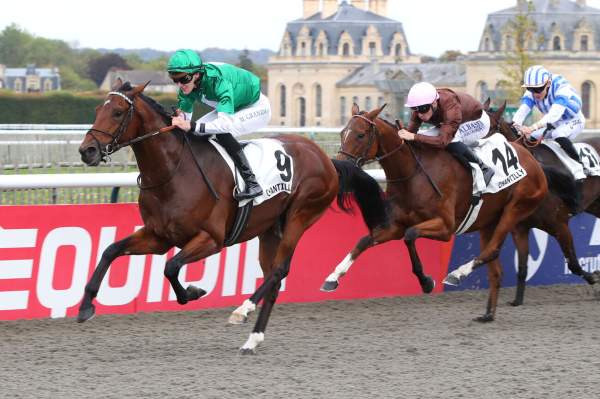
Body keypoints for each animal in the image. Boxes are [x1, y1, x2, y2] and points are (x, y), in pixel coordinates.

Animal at [77, 79, 386, 354]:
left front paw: (193, 292)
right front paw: (86, 306)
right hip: (270, 229)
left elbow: (171, 267)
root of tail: (327, 160)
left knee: (279, 270)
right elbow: (111, 250)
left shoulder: (211, 239)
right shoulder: (158, 236)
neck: (173, 171)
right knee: (273, 277)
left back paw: (243, 310)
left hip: (301, 215)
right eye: (97, 109)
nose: (86, 150)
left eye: (118, 112)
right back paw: (253, 340)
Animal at [324, 102, 548, 322]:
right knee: (495, 268)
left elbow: (410, 235)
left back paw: (457, 274)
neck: (413, 174)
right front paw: (332, 278)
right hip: (488, 222)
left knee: (492, 250)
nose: (339, 166)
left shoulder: (445, 227)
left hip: (515, 209)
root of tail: (531, 158)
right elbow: (364, 241)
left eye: (360, 135)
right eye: (342, 133)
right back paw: (488, 314)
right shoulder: (395, 226)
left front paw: (426, 281)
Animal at [486, 101, 596, 306]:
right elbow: (522, 267)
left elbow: (573, 264)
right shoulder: (520, 228)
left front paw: (594, 276)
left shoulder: (560, 225)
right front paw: (517, 300)